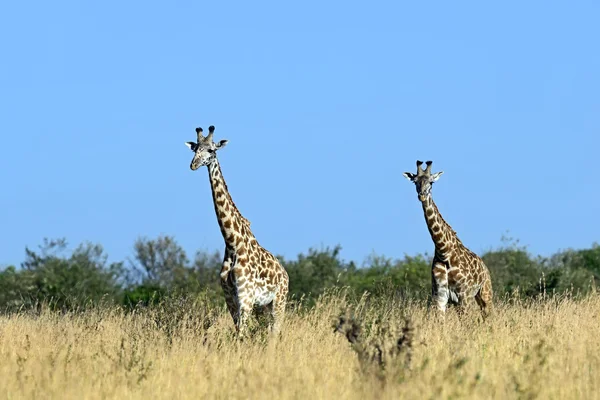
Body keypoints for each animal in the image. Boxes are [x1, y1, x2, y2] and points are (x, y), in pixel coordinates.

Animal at [184, 126, 290, 338]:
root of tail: (286, 274)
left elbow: (241, 334)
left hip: (279, 302)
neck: (232, 242)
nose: (193, 165)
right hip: (264, 306)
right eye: (195, 149)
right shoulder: (230, 297)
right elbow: (238, 331)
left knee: (274, 333)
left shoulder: (246, 297)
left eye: (211, 150)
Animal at [404, 161, 492, 318]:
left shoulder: (463, 296)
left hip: (485, 293)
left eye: (431, 182)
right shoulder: (440, 296)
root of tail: (485, 267)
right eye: (415, 181)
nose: (422, 196)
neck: (444, 251)